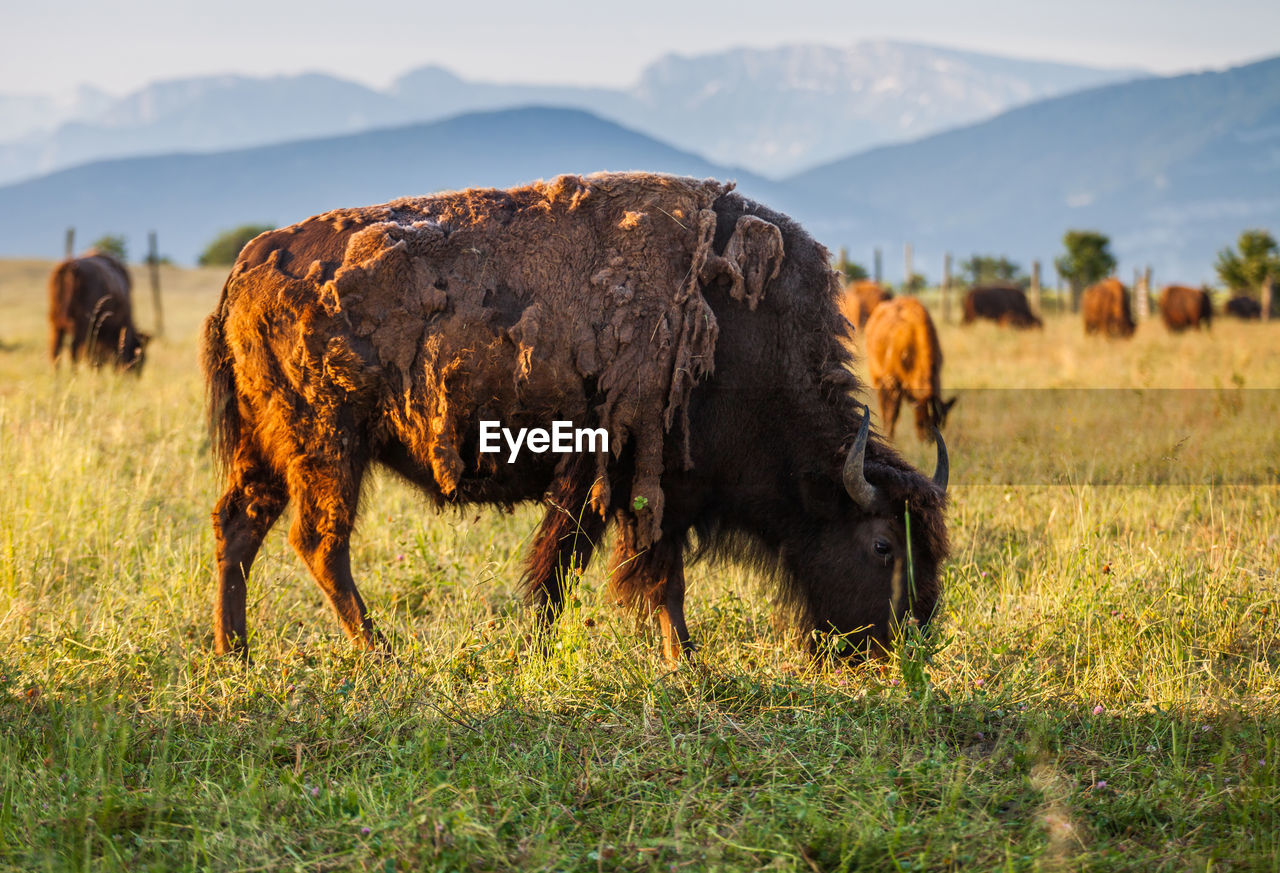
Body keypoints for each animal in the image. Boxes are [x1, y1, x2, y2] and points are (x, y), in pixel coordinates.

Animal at [865, 295, 957, 442]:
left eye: (940, 423)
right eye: (922, 422)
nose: (928, 441)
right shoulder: (892, 383)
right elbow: (892, 413)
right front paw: (889, 437)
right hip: (876, 376)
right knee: (882, 404)